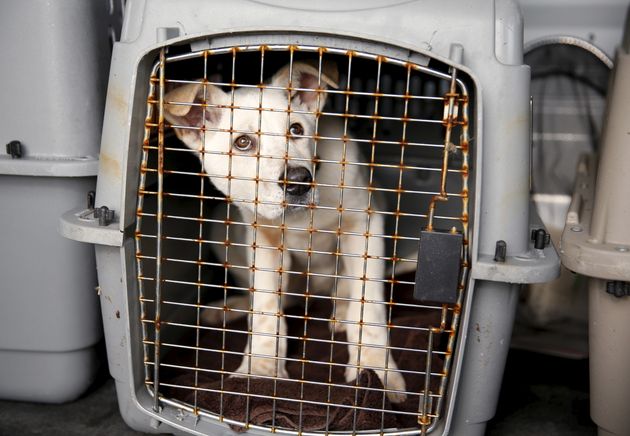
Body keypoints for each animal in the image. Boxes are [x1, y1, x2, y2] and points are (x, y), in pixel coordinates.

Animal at [163, 59, 408, 404]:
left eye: (297, 130)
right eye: (242, 142)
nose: (299, 181)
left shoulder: (364, 223)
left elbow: (368, 306)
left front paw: (375, 371)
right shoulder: (262, 238)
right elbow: (267, 310)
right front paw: (260, 371)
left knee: (342, 290)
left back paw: (340, 310)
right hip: (218, 230)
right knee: (277, 299)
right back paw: (228, 308)